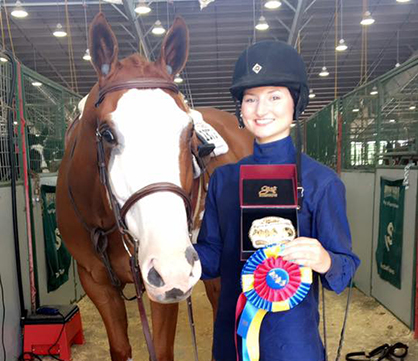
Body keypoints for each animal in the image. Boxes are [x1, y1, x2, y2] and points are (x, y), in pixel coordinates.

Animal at [55, 12, 251, 358]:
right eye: (107, 134)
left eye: (189, 132)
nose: (172, 266)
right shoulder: (96, 282)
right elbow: (120, 348)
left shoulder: (164, 287)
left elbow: (160, 350)